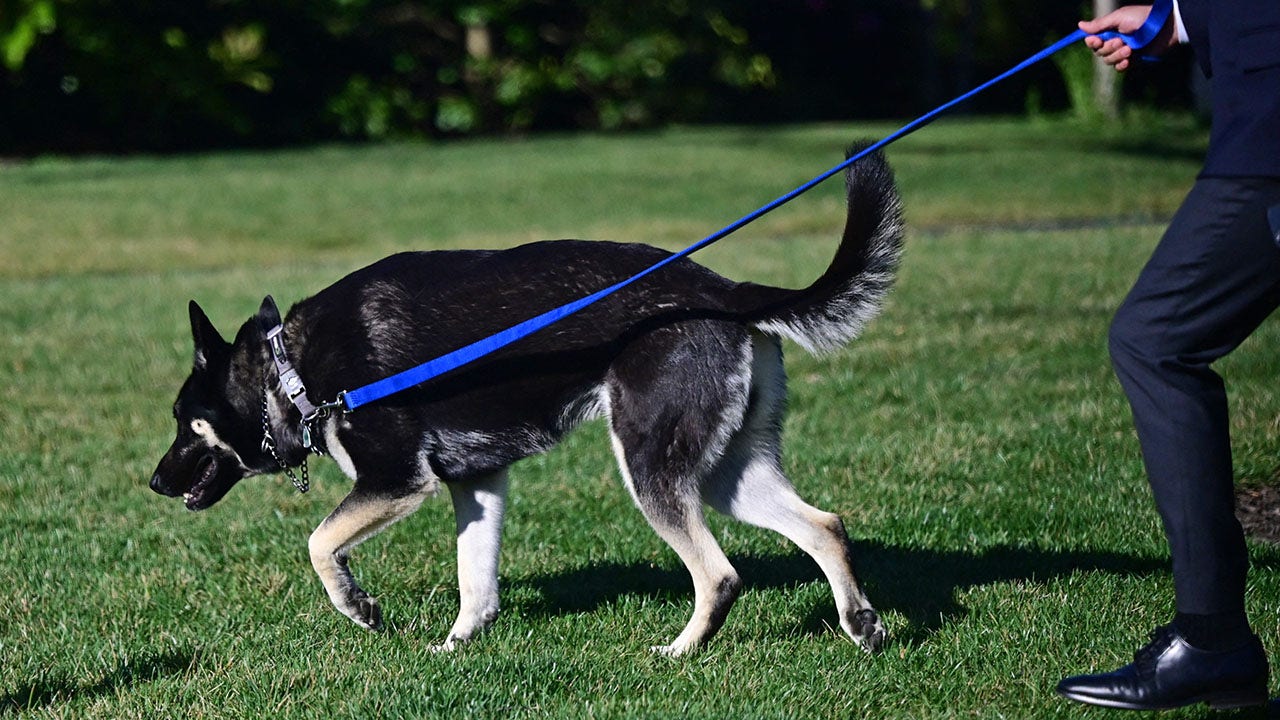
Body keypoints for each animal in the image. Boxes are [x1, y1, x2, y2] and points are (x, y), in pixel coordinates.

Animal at [149, 142, 901, 653]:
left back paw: (681, 651)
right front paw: (456, 647)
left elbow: (318, 543)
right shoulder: (477, 483)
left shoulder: (398, 482)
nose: (154, 482)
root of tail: (724, 290)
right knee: (825, 525)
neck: (293, 371)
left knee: (719, 574)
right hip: (724, 471)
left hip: (652, 467)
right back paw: (863, 625)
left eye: (185, 423)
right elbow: (476, 581)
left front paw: (359, 606)